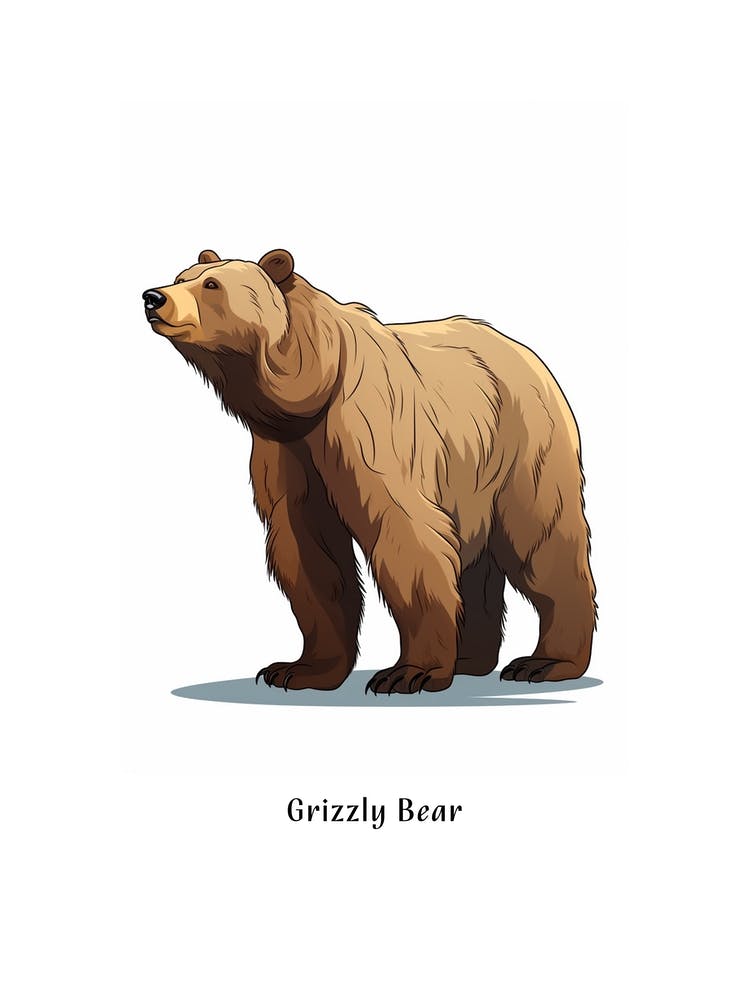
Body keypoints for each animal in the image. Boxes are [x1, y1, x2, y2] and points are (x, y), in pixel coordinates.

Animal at [143, 248, 596, 694]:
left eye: (211, 284)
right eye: (182, 276)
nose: (153, 297)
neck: (306, 394)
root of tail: (526, 353)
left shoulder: (366, 429)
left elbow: (406, 535)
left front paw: (410, 672)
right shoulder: (287, 452)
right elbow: (309, 551)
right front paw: (298, 669)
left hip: (523, 444)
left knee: (542, 536)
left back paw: (545, 662)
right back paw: (471, 660)